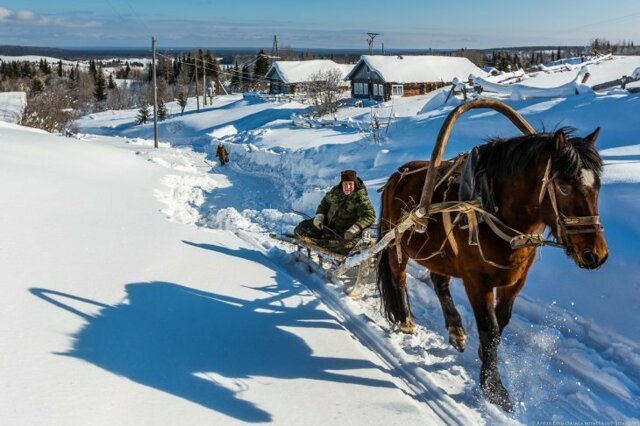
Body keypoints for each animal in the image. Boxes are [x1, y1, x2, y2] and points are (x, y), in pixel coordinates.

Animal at [376, 100, 608, 411]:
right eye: (564, 186)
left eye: (597, 186)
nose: (596, 254)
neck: (491, 208)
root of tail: (396, 176)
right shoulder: (477, 282)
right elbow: (490, 329)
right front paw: (494, 388)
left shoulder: (515, 281)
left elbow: (501, 326)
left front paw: (484, 361)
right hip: (396, 245)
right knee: (399, 278)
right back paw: (405, 320)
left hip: (440, 254)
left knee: (439, 281)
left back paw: (455, 329)